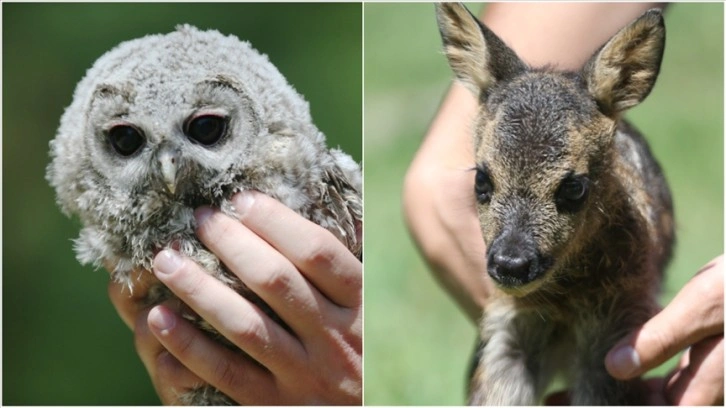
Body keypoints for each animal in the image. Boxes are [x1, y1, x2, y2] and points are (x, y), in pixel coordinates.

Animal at [438, 3, 676, 404]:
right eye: (481, 178)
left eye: (574, 187)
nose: (511, 264)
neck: (565, 298)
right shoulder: (508, 321)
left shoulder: (617, 317)